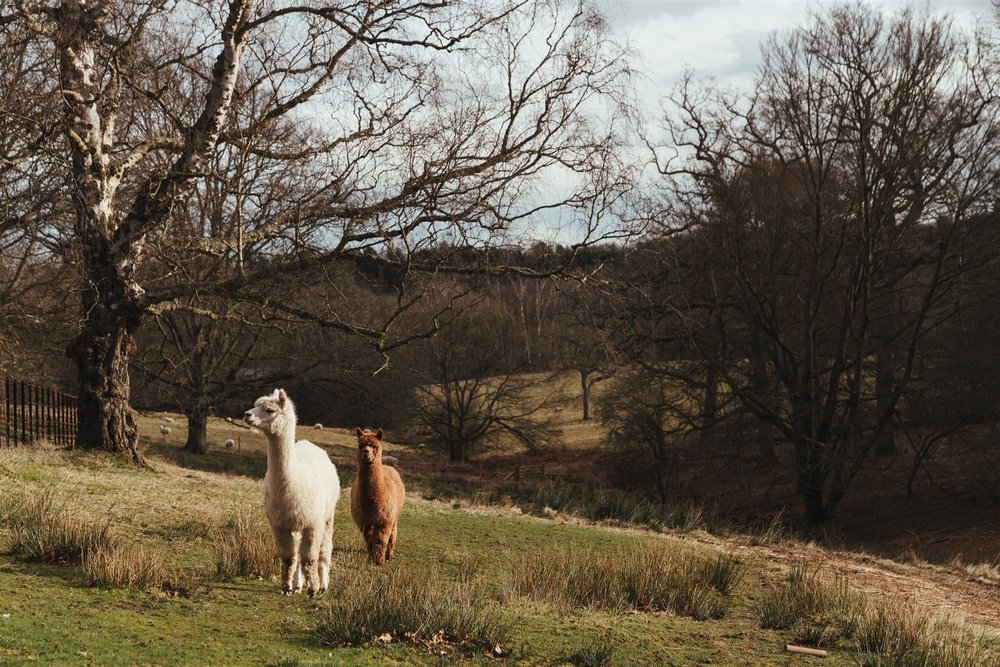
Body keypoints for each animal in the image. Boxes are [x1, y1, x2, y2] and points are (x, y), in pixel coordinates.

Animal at [245, 389, 341, 596]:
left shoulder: (313, 523)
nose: (247, 414)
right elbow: (289, 558)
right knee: (297, 554)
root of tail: (308, 443)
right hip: (295, 523)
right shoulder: (279, 524)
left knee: (324, 550)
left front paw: (313, 590)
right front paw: (287, 587)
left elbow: (310, 558)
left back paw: (323, 585)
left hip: (328, 515)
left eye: (270, 410)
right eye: (255, 405)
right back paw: (297, 584)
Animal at [350, 428, 405, 565]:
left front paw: (379, 561)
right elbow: (369, 540)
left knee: (393, 534)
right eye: (361, 445)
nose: (366, 452)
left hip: (395, 515)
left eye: (374, 446)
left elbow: (381, 540)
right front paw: (372, 558)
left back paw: (389, 556)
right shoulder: (364, 522)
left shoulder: (385, 520)